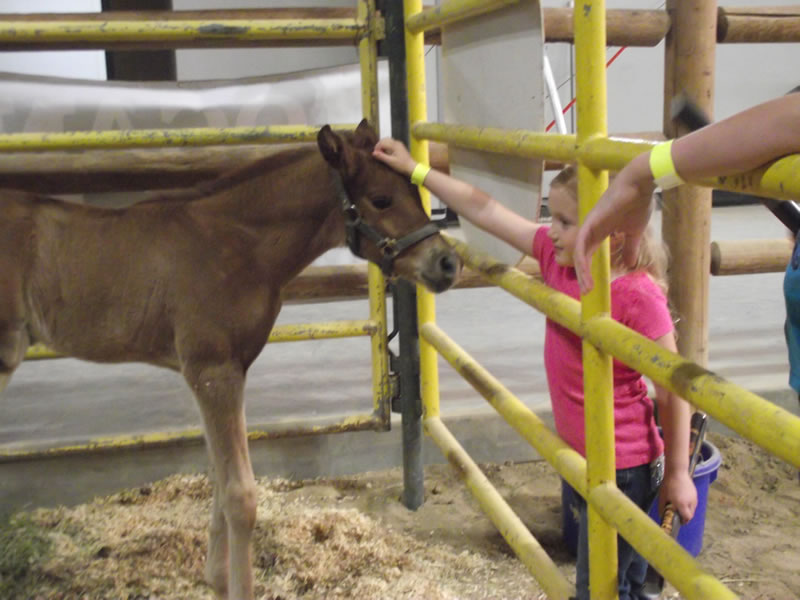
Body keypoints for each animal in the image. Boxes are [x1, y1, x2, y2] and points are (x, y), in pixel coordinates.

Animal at [0, 122, 460, 600]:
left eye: (415, 192)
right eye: (382, 199)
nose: (448, 263)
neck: (236, 244)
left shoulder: (224, 371)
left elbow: (218, 479)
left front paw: (217, 579)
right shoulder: (212, 370)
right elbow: (240, 494)